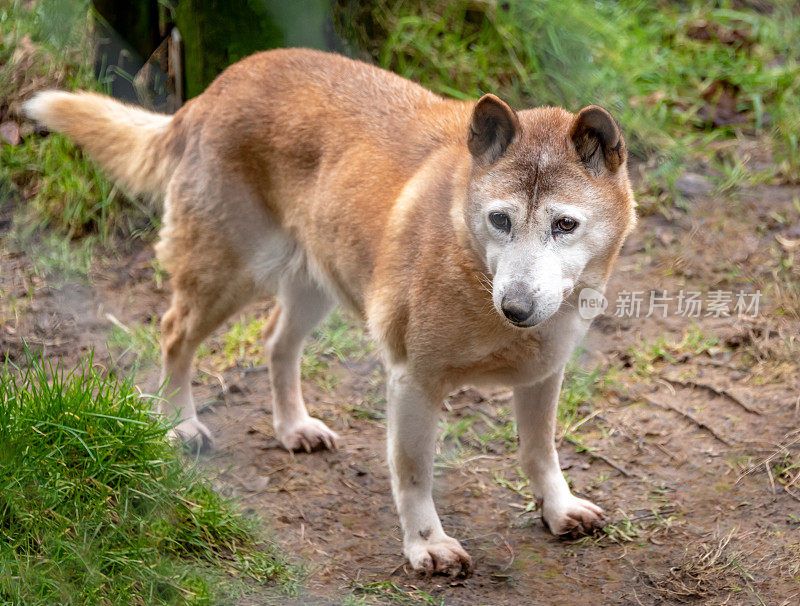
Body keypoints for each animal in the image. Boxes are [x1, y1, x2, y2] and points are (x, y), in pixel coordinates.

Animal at [25, 48, 636, 580]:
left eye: (565, 225)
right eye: (500, 220)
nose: (516, 307)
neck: (473, 269)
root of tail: (215, 89)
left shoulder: (543, 374)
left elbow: (539, 452)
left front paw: (558, 508)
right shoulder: (413, 381)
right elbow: (414, 474)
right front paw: (427, 545)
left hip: (311, 283)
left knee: (276, 342)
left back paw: (292, 427)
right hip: (229, 273)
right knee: (175, 333)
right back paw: (180, 423)